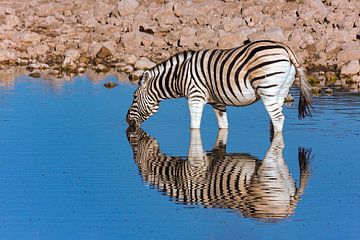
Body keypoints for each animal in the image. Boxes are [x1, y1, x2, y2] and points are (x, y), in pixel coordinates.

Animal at [126, 39, 312, 133]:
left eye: (134, 97)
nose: (126, 121)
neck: (179, 75)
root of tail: (286, 48)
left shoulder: (195, 97)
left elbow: (194, 127)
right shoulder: (217, 102)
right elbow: (223, 126)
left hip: (267, 89)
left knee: (278, 118)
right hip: (281, 91)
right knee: (276, 120)